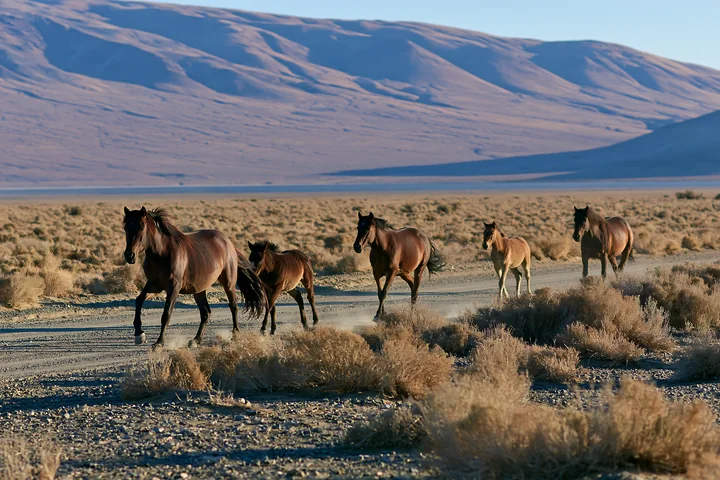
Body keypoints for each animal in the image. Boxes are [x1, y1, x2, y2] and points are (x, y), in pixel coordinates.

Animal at [123, 206, 265, 349]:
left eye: (142, 227)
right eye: (126, 227)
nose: (129, 256)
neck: (162, 253)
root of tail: (228, 242)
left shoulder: (173, 288)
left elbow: (166, 314)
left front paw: (159, 343)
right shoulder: (155, 285)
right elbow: (139, 300)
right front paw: (139, 334)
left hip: (228, 283)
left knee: (233, 306)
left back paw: (235, 335)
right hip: (199, 290)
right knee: (206, 313)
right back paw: (196, 340)